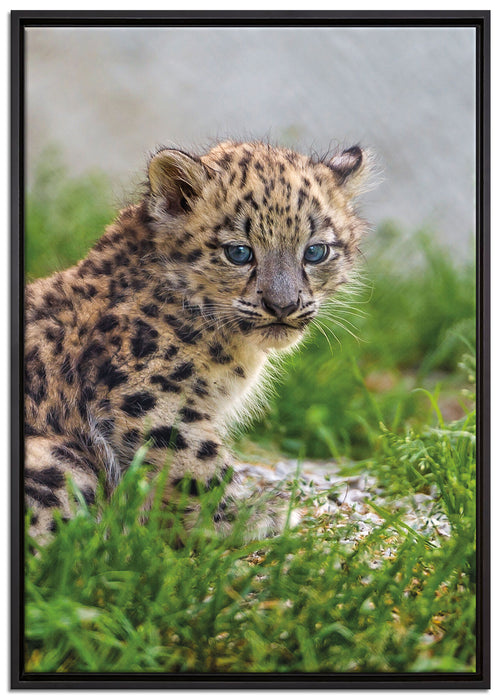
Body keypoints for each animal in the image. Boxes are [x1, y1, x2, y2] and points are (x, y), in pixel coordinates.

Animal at [24, 139, 371, 541]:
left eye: (315, 251)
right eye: (239, 252)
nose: (283, 305)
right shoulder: (147, 396)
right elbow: (199, 463)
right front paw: (249, 515)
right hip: (64, 459)